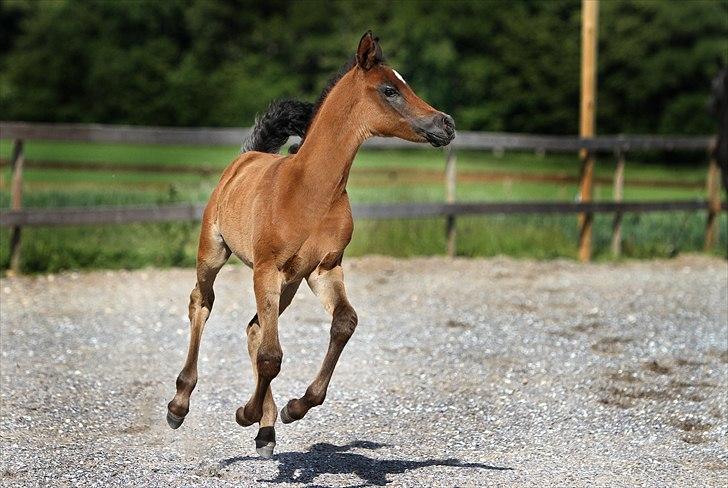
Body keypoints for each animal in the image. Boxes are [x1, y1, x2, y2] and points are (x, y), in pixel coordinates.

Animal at [167, 32, 452, 460]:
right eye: (390, 89)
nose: (446, 123)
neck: (310, 190)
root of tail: (246, 157)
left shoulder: (324, 268)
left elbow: (344, 323)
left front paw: (292, 409)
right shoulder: (267, 268)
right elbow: (272, 356)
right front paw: (246, 413)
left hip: (288, 284)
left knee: (254, 327)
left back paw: (266, 431)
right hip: (215, 253)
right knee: (202, 304)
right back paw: (180, 405)